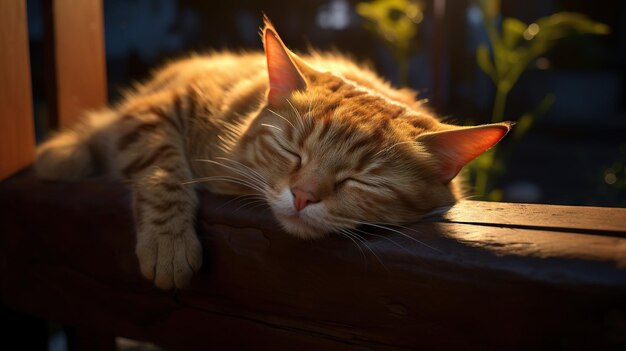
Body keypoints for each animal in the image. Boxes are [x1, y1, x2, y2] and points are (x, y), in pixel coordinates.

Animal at [34, 17, 510, 290]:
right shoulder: (160, 106)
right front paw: (168, 243)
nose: (302, 196)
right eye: (291, 152)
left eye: (360, 181)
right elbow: (162, 170)